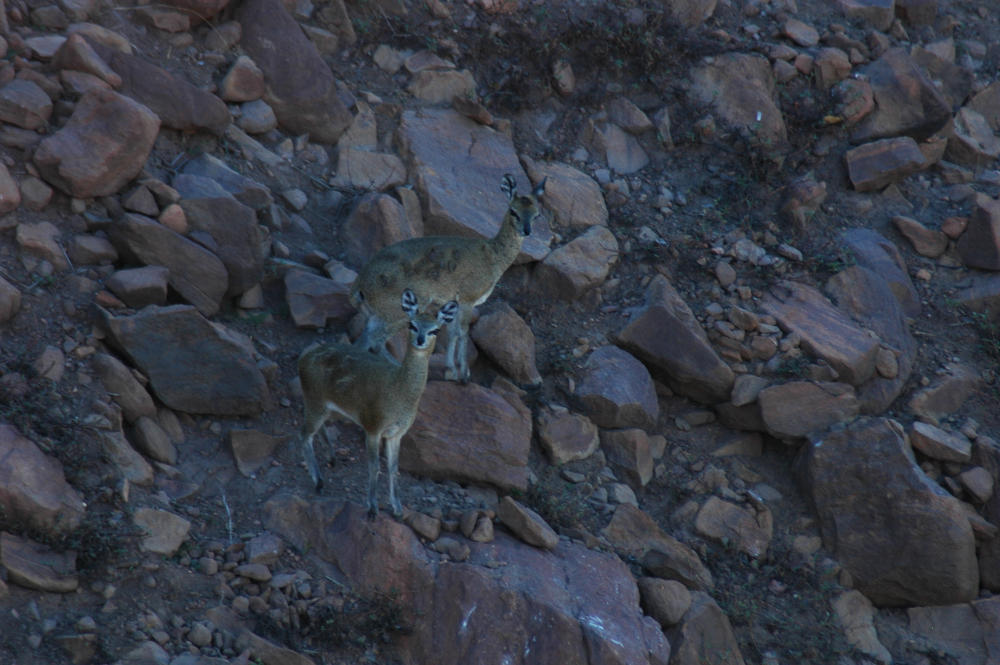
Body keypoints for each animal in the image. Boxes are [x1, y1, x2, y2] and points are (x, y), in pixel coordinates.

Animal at [294, 288, 456, 516]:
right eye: (412, 324)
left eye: (436, 330)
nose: (420, 340)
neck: (398, 393)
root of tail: (303, 358)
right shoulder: (372, 428)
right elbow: (374, 467)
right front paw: (372, 508)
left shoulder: (396, 433)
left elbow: (393, 468)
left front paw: (398, 508)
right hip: (315, 401)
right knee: (303, 434)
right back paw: (319, 482)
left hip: (323, 407)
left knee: (317, 429)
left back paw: (332, 459)